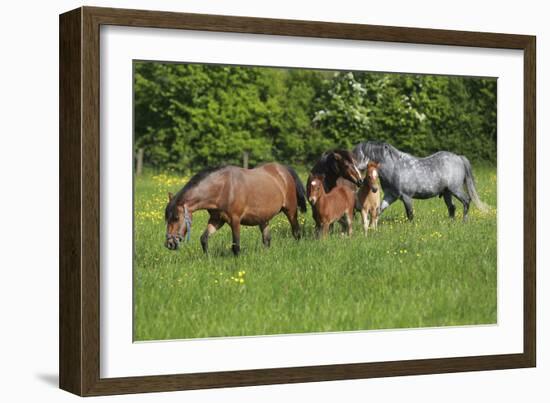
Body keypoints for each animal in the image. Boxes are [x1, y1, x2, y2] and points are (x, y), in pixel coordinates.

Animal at [164, 163, 310, 256]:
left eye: (176, 217)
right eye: (167, 218)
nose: (169, 244)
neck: (223, 188)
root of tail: (283, 169)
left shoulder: (235, 220)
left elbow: (236, 246)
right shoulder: (217, 220)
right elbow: (204, 239)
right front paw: (207, 259)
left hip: (291, 211)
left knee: (297, 233)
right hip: (263, 218)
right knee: (267, 239)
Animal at [352, 142, 490, 223]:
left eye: (357, 154)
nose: (358, 178)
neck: (394, 168)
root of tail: (459, 158)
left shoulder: (406, 197)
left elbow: (410, 214)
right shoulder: (391, 196)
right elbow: (379, 209)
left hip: (455, 189)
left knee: (466, 201)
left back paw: (464, 221)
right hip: (447, 192)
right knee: (452, 207)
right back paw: (451, 223)